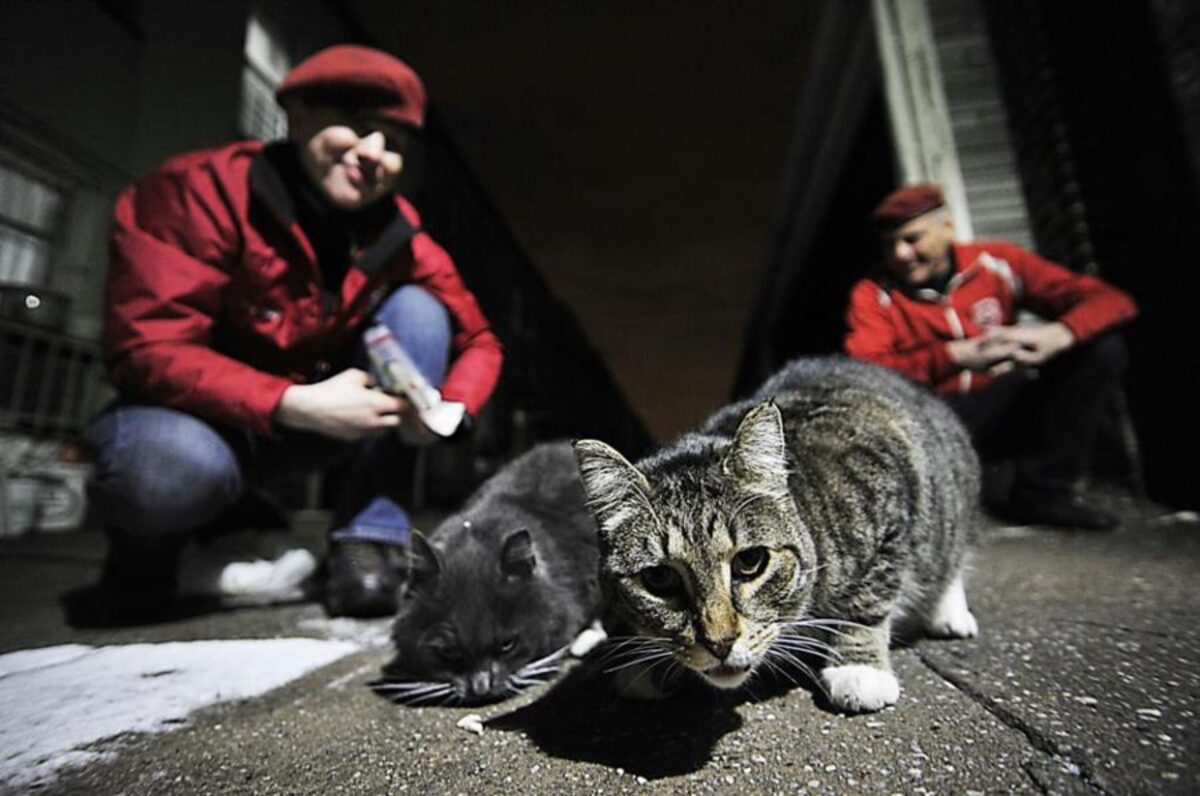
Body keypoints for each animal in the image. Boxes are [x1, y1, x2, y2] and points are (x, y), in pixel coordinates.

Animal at [576, 357, 979, 710]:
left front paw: (859, 669)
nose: (720, 643)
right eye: (659, 578)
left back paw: (949, 612)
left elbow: (868, 600)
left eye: (750, 561)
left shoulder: (890, 504)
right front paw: (645, 662)